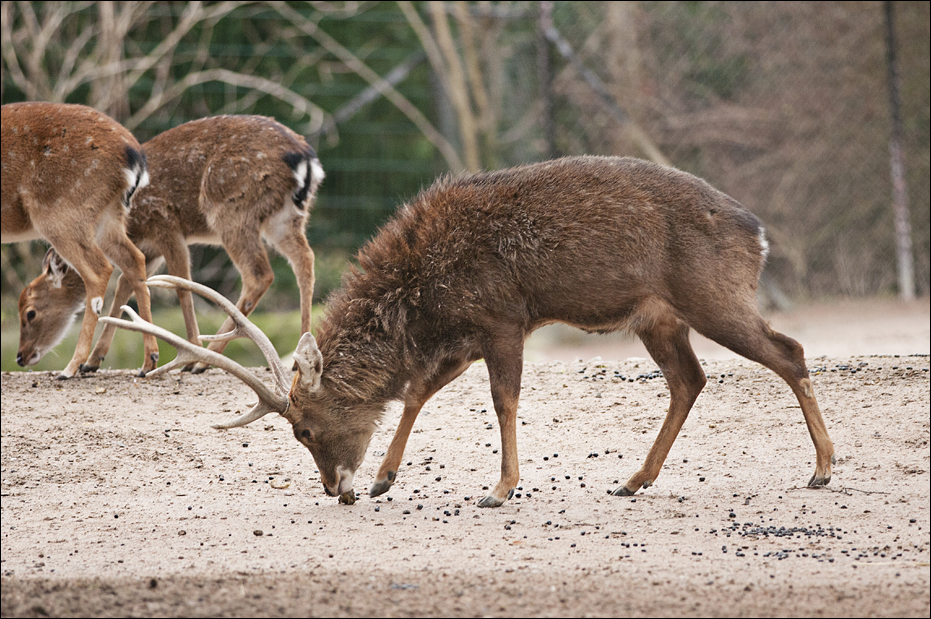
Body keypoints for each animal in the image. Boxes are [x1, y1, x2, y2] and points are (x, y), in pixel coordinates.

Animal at [2, 101, 159, 379]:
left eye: (30, 313)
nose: (20, 357)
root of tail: (134, 156)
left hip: (60, 212)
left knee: (98, 270)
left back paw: (71, 367)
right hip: (109, 216)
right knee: (134, 259)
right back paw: (148, 360)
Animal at [15, 114, 323, 375]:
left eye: (30, 312)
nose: (20, 356)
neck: (133, 223)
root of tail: (306, 160)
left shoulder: (166, 225)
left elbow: (181, 284)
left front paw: (186, 354)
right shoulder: (149, 248)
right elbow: (125, 288)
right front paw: (93, 362)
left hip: (231, 211)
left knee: (260, 274)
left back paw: (203, 360)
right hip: (286, 217)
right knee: (305, 259)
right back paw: (301, 354)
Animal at [101, 156, 836, 508]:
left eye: (303, 429)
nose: (335, 488)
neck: (422, 293)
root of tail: (758, 234)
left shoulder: (502, 316)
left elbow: (501, 399)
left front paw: (498, 488)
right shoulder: (461, 334)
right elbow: (416, 392)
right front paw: (385, 479)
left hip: (710, 296)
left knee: (789, 350)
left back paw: (823, 469)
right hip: (658, 316)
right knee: (691, 378)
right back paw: (632, 479)